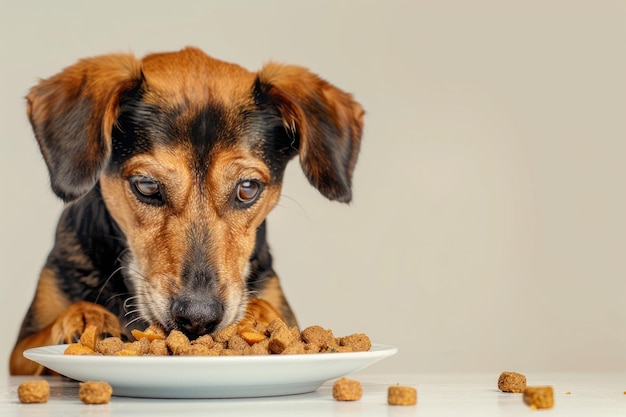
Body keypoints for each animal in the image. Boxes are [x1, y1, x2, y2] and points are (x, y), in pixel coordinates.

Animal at [9, 47, 364, 376]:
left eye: (248, 188)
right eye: (147, 185)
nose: (197, 318)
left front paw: (261, 316)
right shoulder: (18, 353)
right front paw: (86, 318)